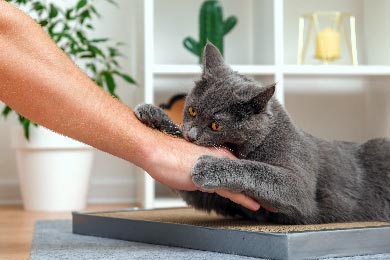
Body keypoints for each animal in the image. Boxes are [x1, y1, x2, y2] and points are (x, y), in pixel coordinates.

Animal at [136, 43, 390, 224]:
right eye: (191, 110)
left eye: (216, 125)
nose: (191, 135)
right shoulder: (218, 199)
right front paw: (153, 114)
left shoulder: (298, 188)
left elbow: (257, 169)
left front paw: (210, 166)